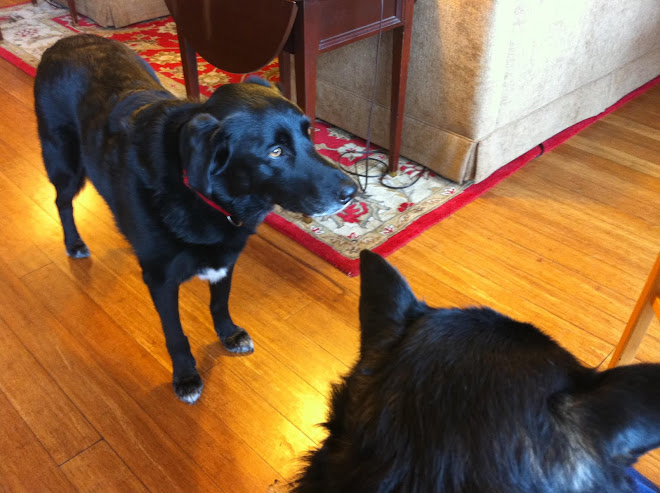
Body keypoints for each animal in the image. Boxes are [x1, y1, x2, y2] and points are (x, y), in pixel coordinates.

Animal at [33, 35, 358, 404]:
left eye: (309, 133)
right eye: (275, 152)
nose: (353, 191)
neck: (205, 196)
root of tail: (65, 40)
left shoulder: (225, 261)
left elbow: (219, 302)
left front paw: (228, 334)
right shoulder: (161, 280)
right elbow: (175, 334)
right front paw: (186, 375)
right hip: (65, 163)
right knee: (61, 203)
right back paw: (74, 243)